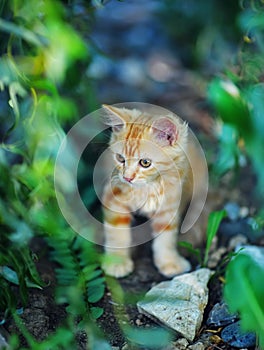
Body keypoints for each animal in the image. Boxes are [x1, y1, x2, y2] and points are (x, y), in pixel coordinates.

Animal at [101, 102, 206, 278]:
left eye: (145, 163)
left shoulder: (170, 203)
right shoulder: (113, 194)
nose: (127, 178)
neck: (146, 188)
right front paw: (117, 262)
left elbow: (166, 236)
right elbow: (117, 232)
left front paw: (169, 261)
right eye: (120, 159)